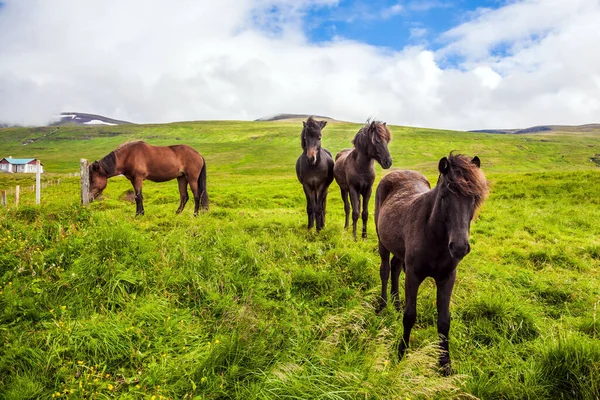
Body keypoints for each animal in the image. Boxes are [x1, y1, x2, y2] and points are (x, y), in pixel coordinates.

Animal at [376, 152, 488, 376]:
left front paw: (445, 364)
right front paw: (401, 353)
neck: (434, 236)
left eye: (473, 198)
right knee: (385, 270)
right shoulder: (414, 275)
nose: (459, 247)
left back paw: (396, 303)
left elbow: (444, 321)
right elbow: (410, 316)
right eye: (444, 196)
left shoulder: (447, 278)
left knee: (395, 268)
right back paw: (383, 305)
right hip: (382, 242)